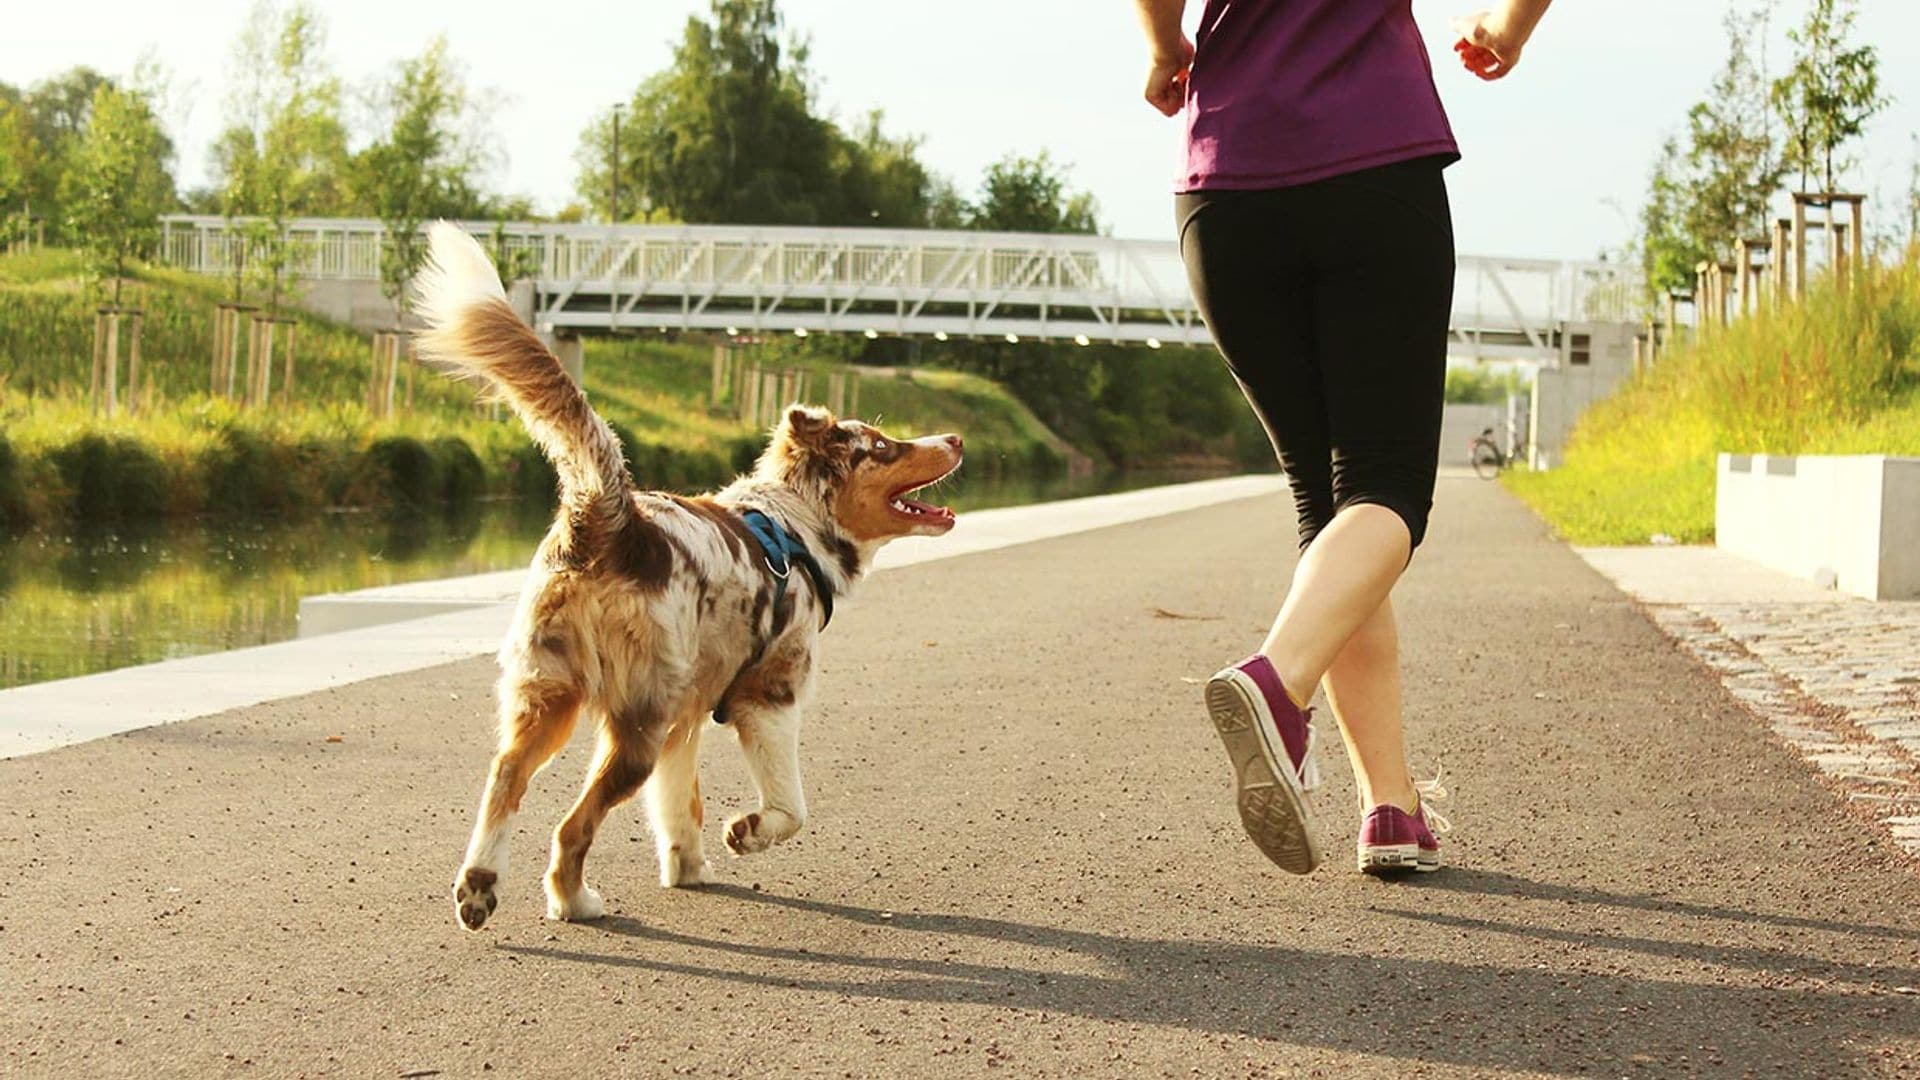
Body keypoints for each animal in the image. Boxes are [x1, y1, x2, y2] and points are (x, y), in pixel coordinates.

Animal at [414, 224, 967, 926]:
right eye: (884, 447)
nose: (955, 438)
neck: (796, 526)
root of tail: (609, 517)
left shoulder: (689, 716)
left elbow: (680, 807)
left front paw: (688, 869)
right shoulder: (770, 694)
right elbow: (792, 807)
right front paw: (748, 833)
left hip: (548, 691)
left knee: (505, 778)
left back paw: (480, 887)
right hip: (635, 723)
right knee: (572, 824)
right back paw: (573, 901)